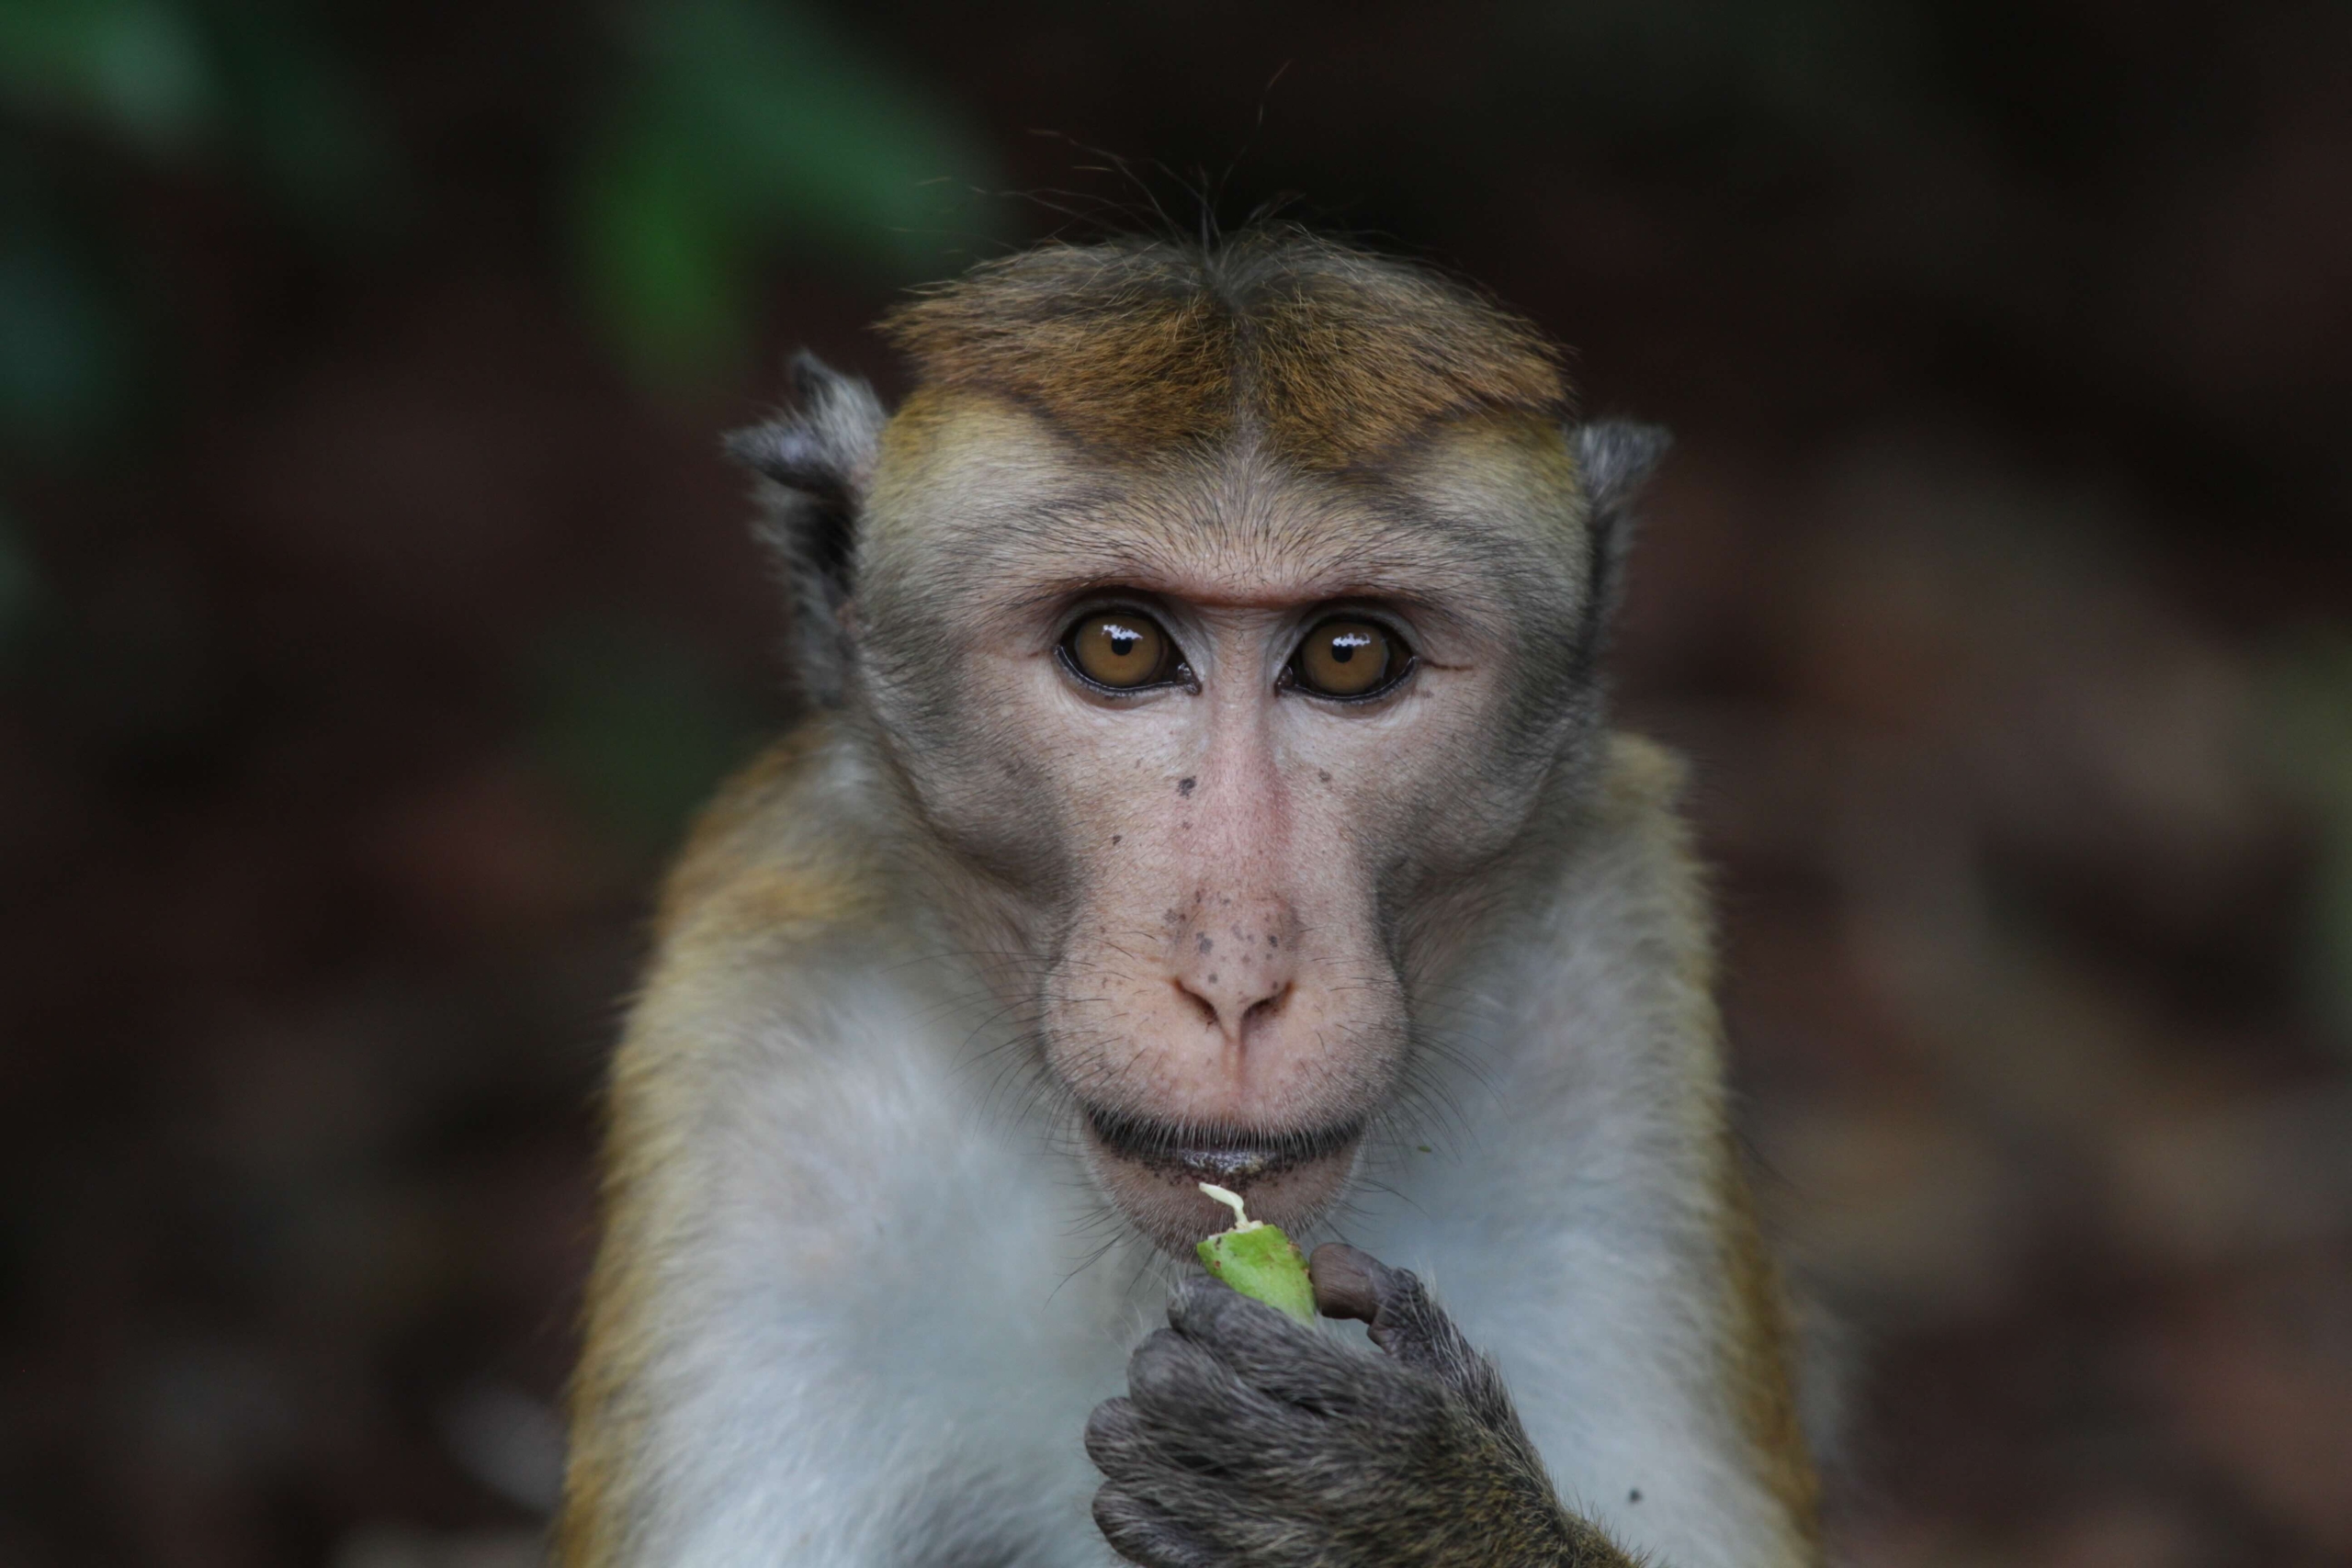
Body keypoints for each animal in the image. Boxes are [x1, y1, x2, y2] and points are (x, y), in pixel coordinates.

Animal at [560, 230, 1825, 1568]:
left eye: (1348, 655)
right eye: (1117, 645)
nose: (1235, 976)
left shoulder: (1610, 995)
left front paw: (1392, 1506)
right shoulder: (772, 1065)